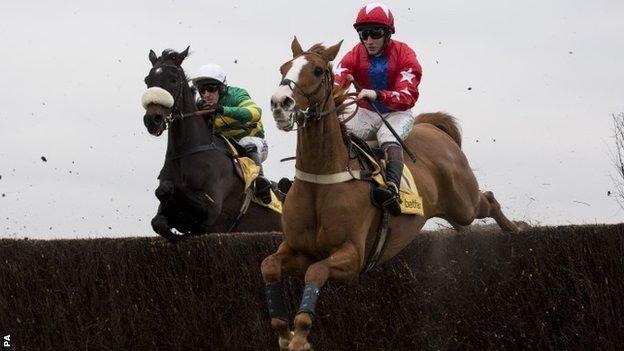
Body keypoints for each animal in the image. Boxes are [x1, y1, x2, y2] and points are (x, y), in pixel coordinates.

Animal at [260, 37, 528, 350]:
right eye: (283, 68)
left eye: (317, 70)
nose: (280, 103)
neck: (322, 180)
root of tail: (432, 127)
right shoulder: (298, 250)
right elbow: (268, 265)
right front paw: (284, 332)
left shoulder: (353, 257)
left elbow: (316, 271)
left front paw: (300, 336)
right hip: (449, 209)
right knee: (463, 223)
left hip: (464, 202)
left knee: (488, 199)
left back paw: (516, 228)